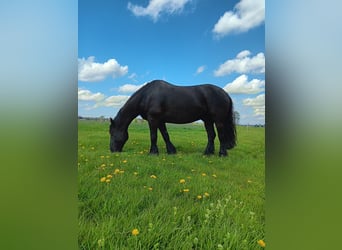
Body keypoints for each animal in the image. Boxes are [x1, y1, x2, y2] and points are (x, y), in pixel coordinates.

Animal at [108, 79, 236, 155]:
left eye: (112, 133)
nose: (112, 150)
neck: (147, 96)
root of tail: (225, 93)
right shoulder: (160, 121)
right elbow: (165, 135)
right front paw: (171, 151)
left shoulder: (153, 119)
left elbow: (153, 136)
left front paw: (153, 152)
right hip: (207, 120)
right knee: (211, 135)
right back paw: (207, 153)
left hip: (219, 120)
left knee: (220, 135)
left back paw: (222, 154)